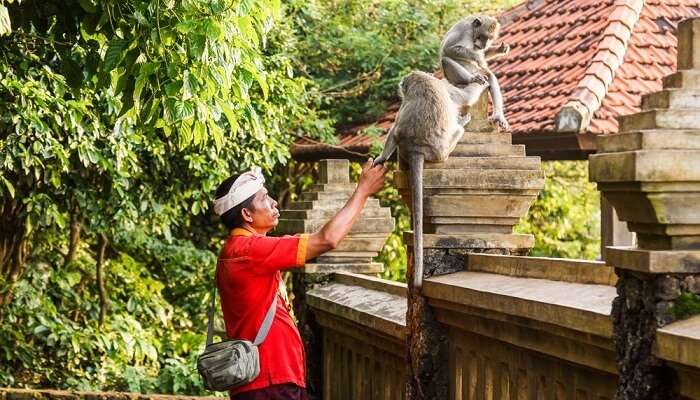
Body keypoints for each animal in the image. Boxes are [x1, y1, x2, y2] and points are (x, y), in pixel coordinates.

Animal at [374, 72, 468, 290]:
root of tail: (418, 147)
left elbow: (394, 131)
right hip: (441, 150)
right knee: (455, 132)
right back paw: (461, 126)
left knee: (397, 134)